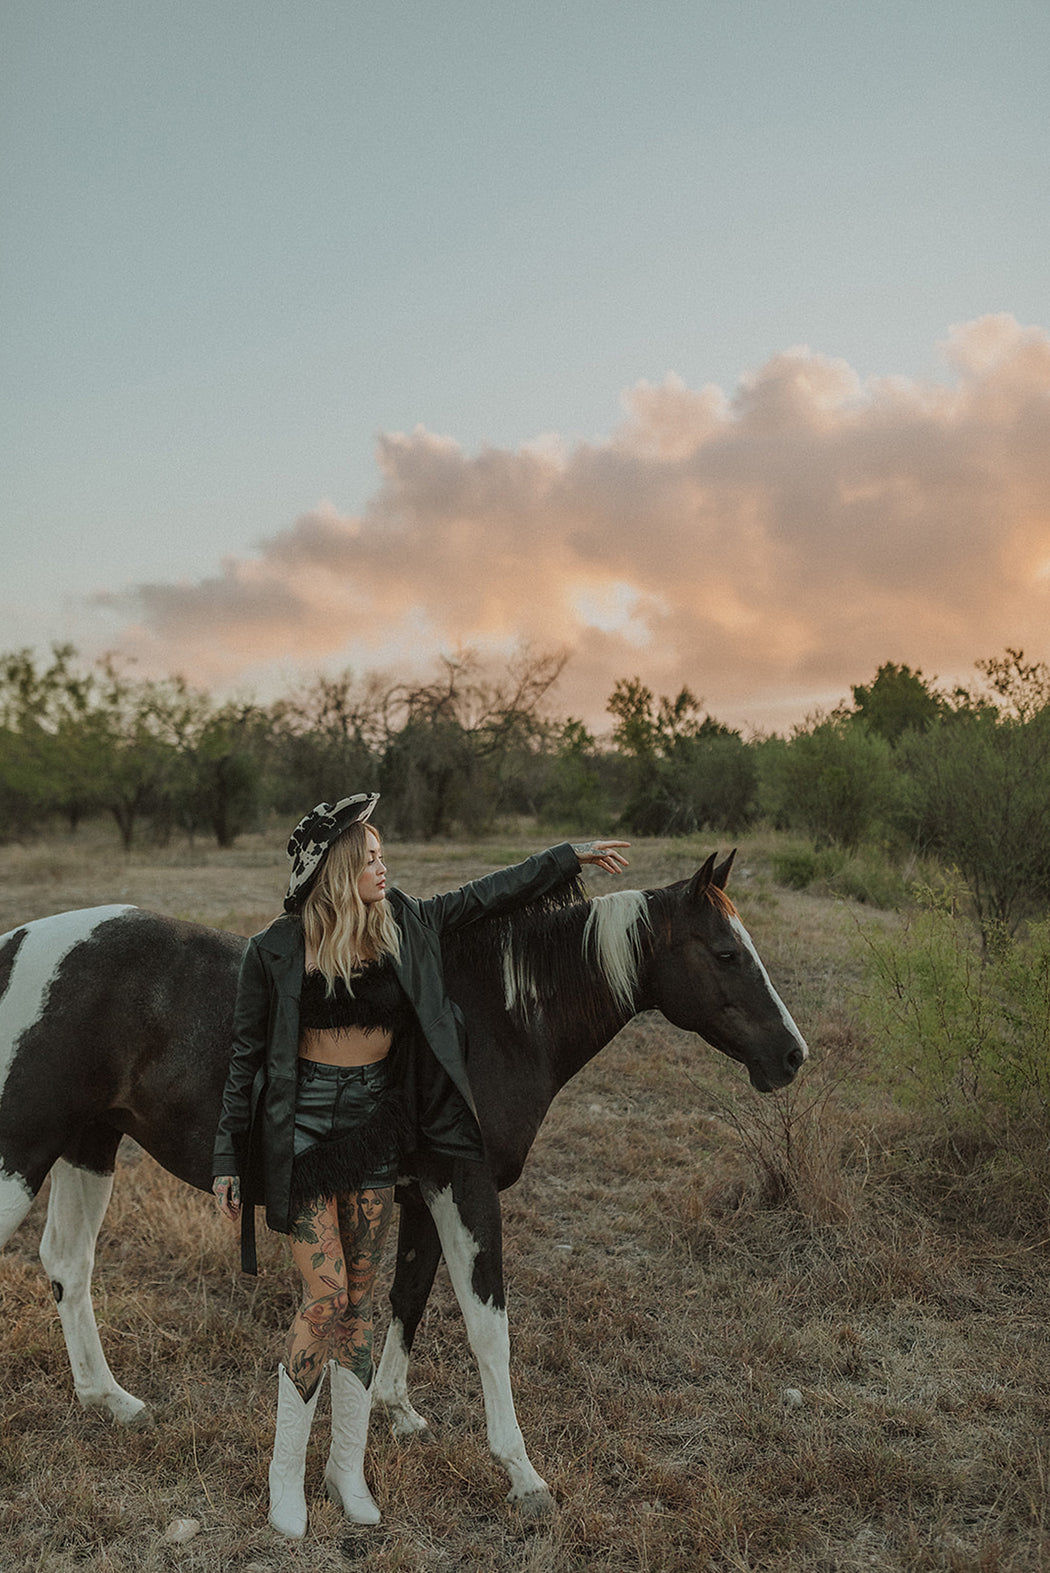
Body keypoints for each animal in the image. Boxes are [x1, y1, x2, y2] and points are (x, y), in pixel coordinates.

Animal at [0, 855, 811, 1516]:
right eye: (726, 953)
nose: (792, 1055)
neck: (492, 1017)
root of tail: (18, 946)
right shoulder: (465, 1185)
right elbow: (488, 1325)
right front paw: (522, 1474)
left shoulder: (424, 1192)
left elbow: (407, 1296)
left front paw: (394, 1410)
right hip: (25, 1151)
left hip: (90, 1144)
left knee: (69, 1264)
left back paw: (110, 1400)